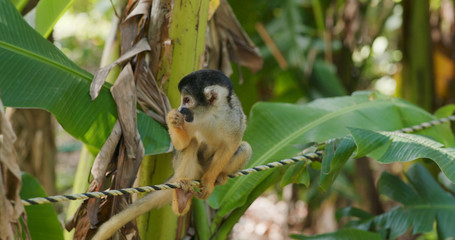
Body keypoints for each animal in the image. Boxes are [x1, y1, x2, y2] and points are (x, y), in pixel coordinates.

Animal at [93, 69, 253, 238]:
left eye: (187, 100)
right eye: (182, 101)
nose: (180, 109)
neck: (211, 114)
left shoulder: (234, 118)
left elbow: (230, 145)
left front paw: (209, 181)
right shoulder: (189, 119)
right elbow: (183, 144)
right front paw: (171, 119)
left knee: (245, 148)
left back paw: (219, 177)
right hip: (187, 168)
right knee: (192, 144)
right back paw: (182, 194)